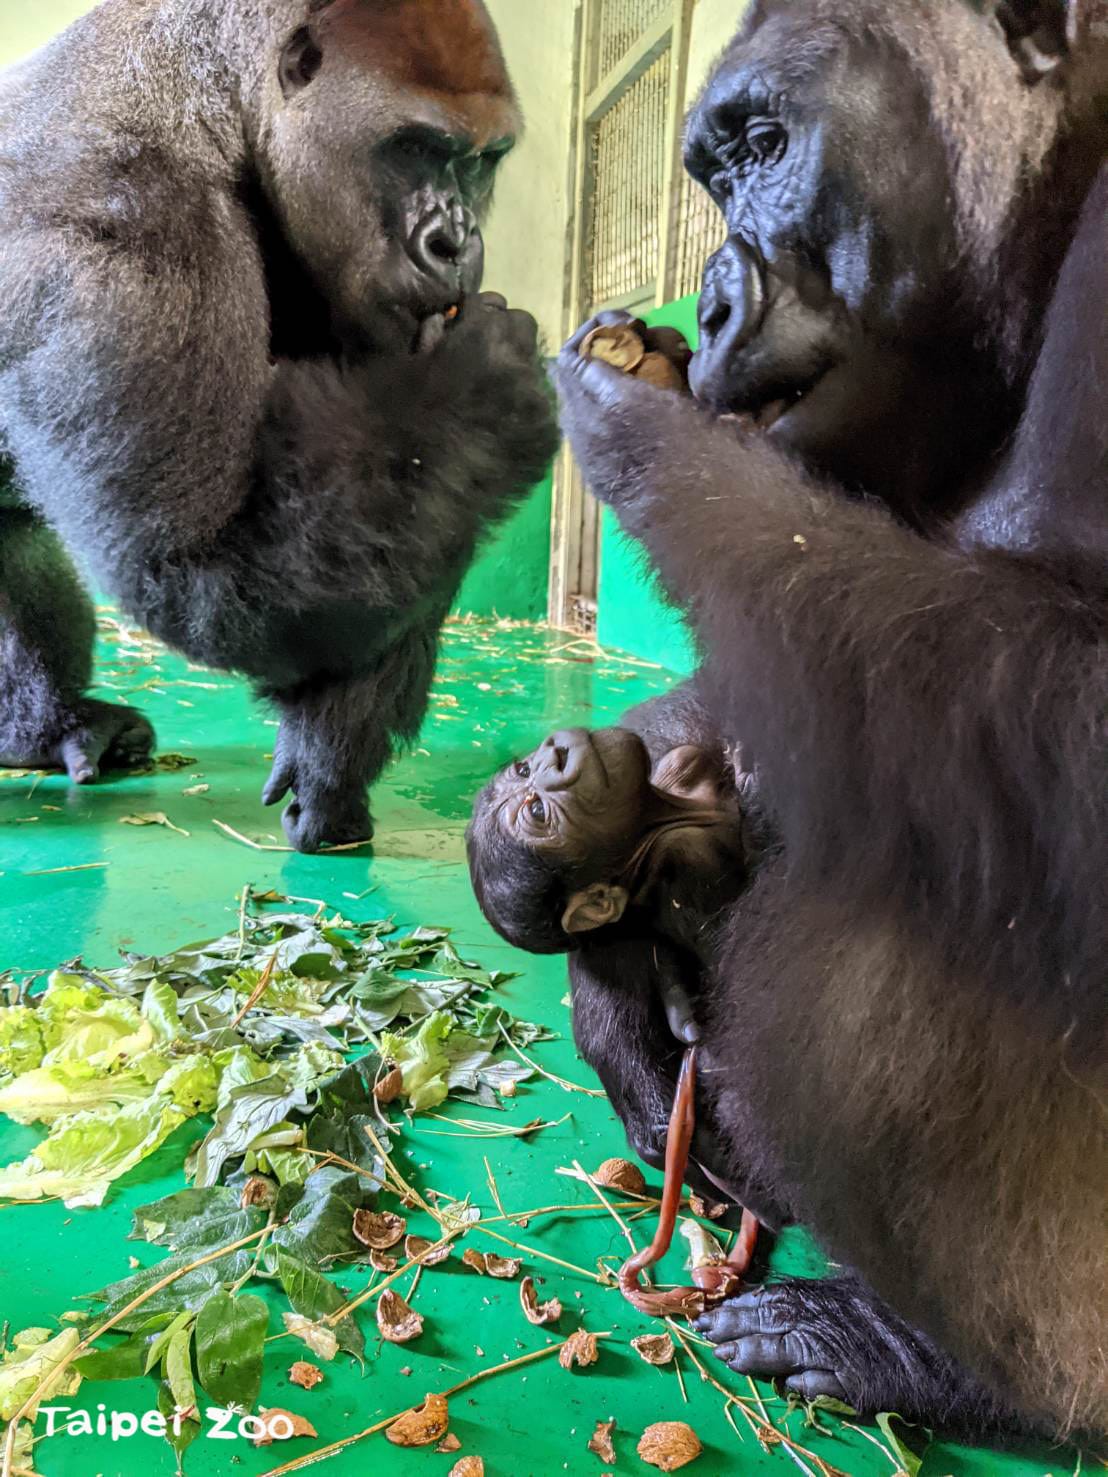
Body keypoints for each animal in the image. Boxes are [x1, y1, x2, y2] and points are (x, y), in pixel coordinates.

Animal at [0, 0, 559, 851]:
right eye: (415, 149)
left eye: (479, 162)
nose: (455, 242)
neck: (213, 99)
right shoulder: (120, 228)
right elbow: (195, 565)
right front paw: (480, 391)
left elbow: (395, 527)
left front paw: (331, 759)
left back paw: (46, 728)